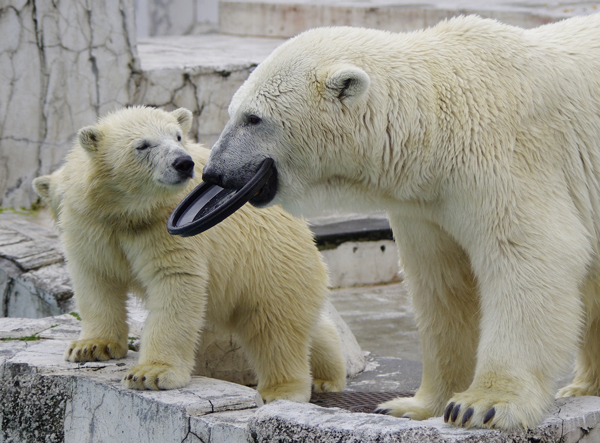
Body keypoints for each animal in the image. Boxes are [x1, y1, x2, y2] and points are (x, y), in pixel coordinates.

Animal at [202, 14, 600, 430]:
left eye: (253, 118)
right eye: (232, 112)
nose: (214, 172)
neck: (441, 116)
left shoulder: (507, 160)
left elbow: (529, 259)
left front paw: (481, 405)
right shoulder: (427, 204)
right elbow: (443, 286)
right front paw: (414, 405)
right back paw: (583, 386)